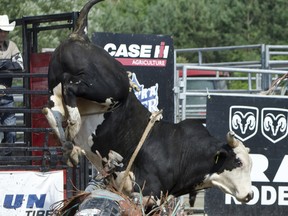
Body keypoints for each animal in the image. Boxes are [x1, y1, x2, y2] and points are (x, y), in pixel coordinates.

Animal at [43, 0, 254, 214]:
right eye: (238, 162)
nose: (250, 194)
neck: (182, 151)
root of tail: (80, 35)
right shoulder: (149, 193)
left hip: (58, 83)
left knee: (52, 108)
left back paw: (69, 143)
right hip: (109, 87)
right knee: (69, 86)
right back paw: (74, 123)